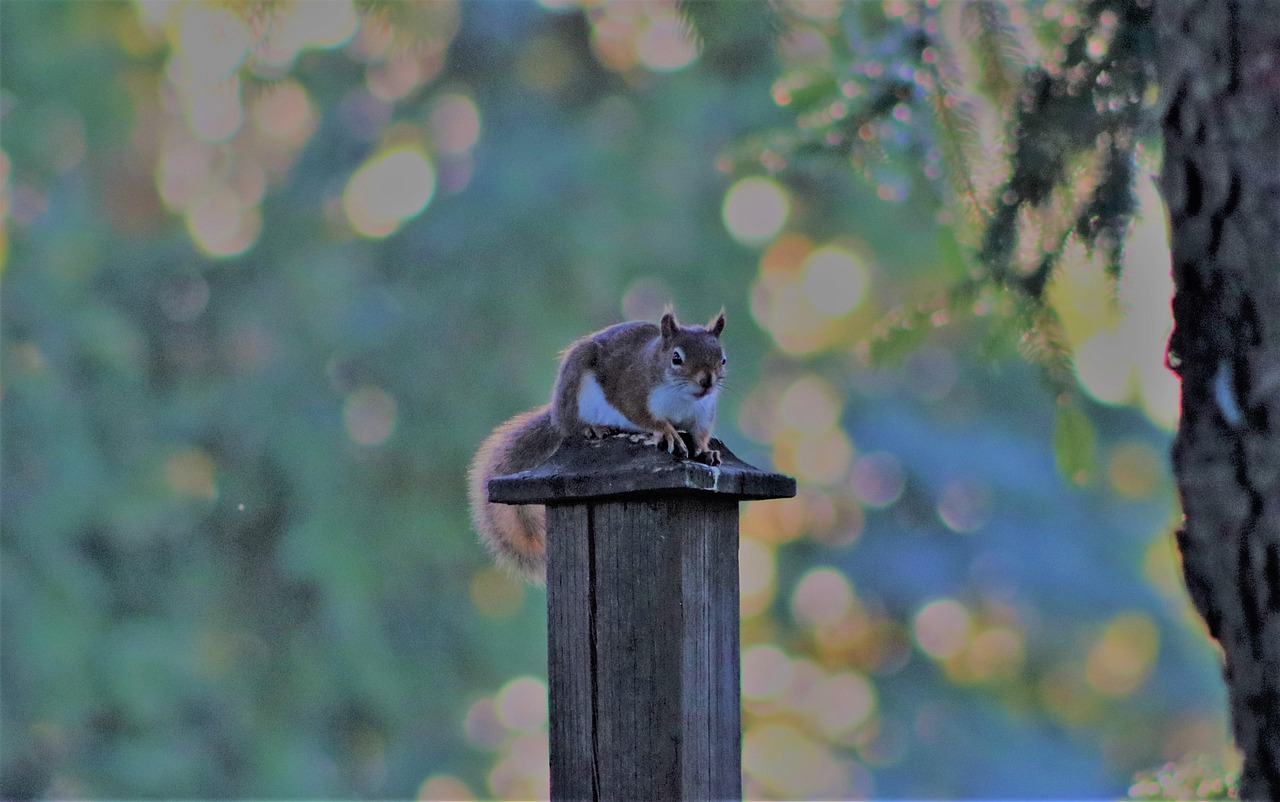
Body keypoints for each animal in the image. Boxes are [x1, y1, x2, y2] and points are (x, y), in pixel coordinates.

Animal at [468, 309, 728, 584]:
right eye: (676, 358)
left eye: (722, 359)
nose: (707, 381)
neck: (682, 398)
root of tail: (557, 415)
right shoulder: (633, 393)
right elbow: (646, 417)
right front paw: (668, 432)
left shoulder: (702, 413)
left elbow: (700, 435)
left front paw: (706, 450)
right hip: (577, 392)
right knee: (573, 427)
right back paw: (593, 428)